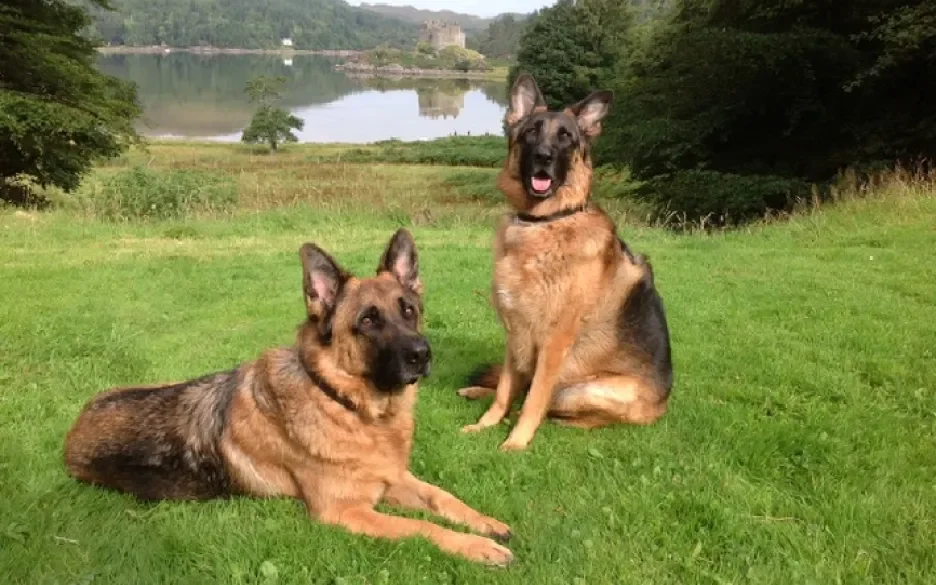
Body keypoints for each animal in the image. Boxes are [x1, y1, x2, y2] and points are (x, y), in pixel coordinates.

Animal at [66, 229, 516, 564]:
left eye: (408, 310)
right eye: (368, 321)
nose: (423, 355)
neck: (342, 402)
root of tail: (73, 431)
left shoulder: (391, 478)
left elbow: (442, 497)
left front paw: (485, 523)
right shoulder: (346, 511)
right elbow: (421, 527)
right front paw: (475, 546)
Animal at [458, 74, 672, 452]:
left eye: (566, 137)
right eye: (531, 132)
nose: (543, 157)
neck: (544, 222)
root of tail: (661, 407)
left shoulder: (554, 342)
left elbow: (534, 399)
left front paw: (515, 442)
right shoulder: (515, 334)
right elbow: (505, 390)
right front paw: (486, 424)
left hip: (583, 390)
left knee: (565, 410)